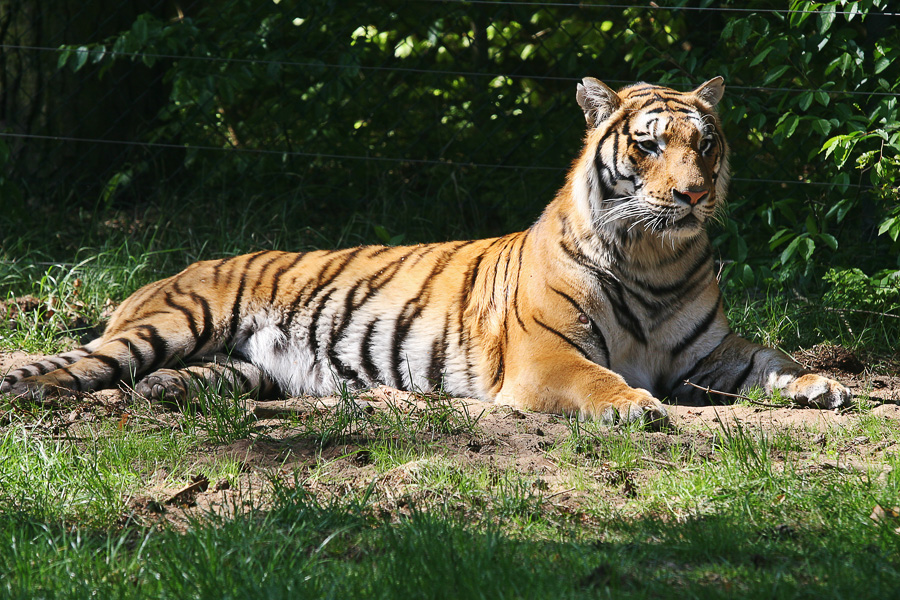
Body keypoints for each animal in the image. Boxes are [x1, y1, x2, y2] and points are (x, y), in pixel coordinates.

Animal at [1, 76, 851, 425]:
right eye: (647, 146)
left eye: (704, 145)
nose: (693, 196)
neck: (656, 260)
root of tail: (168, 273)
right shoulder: (545, 355)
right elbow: (598, 377)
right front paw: (636, 405)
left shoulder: (712, 353)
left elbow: (771, 359)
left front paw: (821, 385)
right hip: (171, 325)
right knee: (75, 366)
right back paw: (32, 392)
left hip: (240, 368)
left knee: (161, 382)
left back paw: (158, 396)